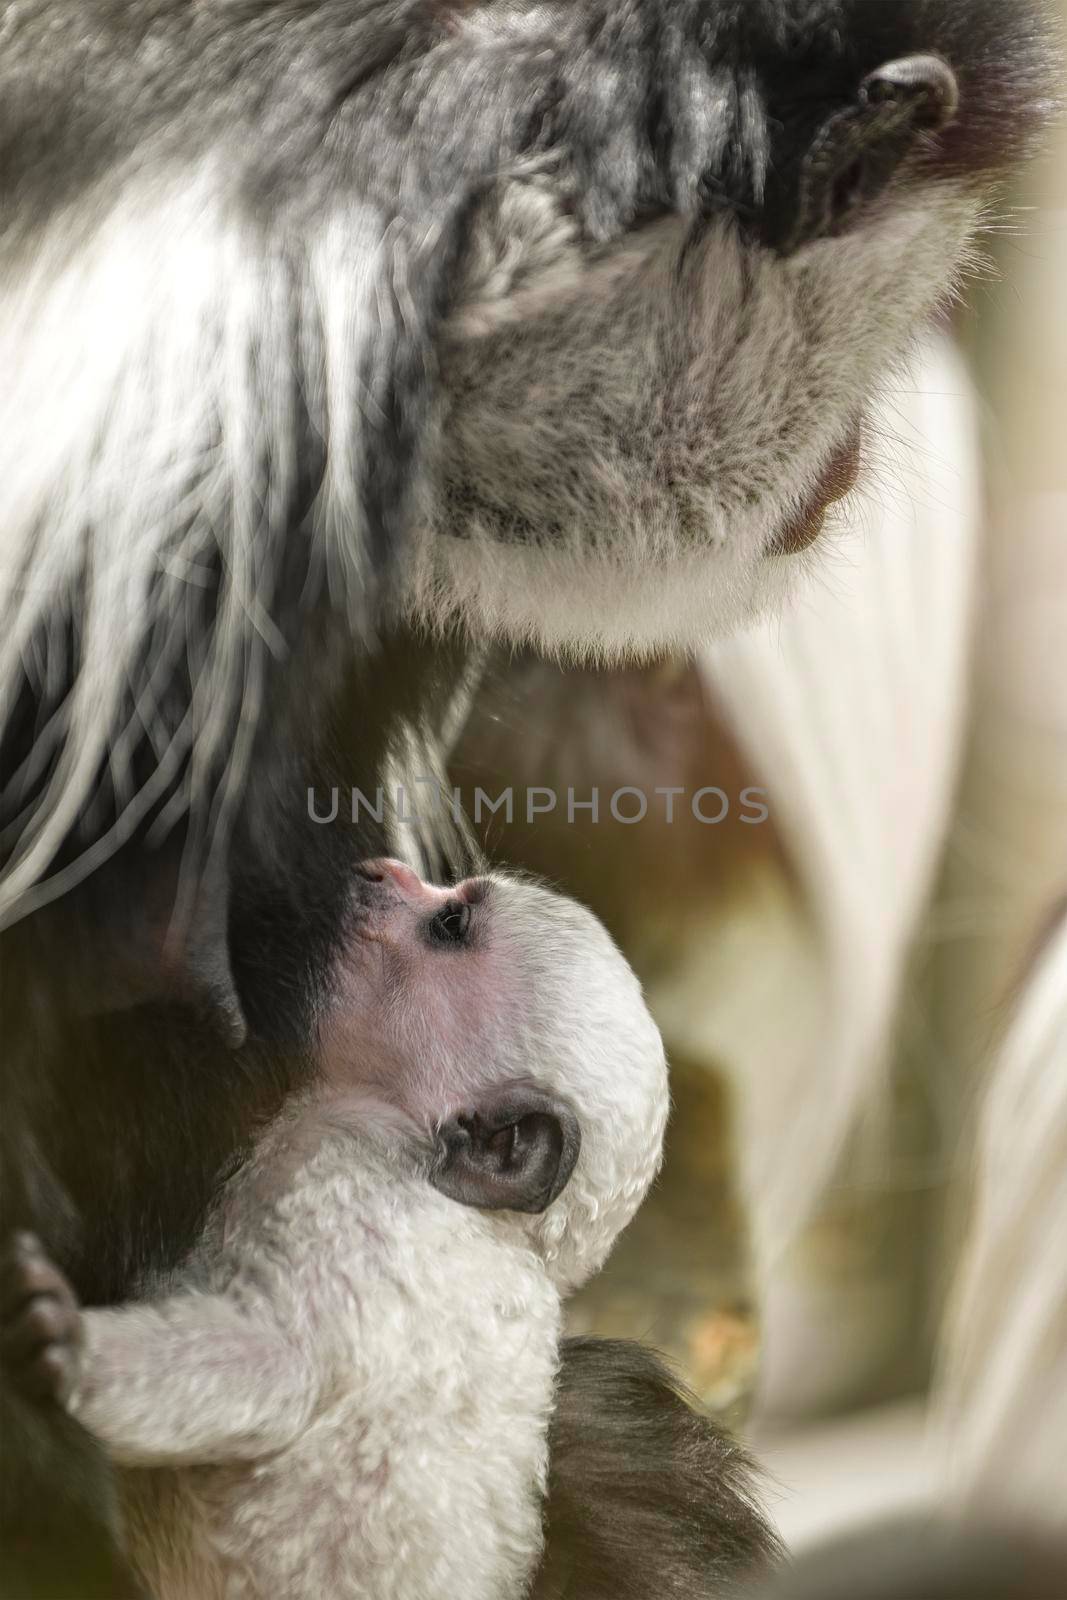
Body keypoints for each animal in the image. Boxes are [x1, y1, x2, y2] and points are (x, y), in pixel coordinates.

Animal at [2, 864, 668, 1600]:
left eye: (450, 925)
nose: (383, 870)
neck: (499, 1229)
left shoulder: (357, 1200)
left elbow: (277, 1365)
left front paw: (67, 1345)